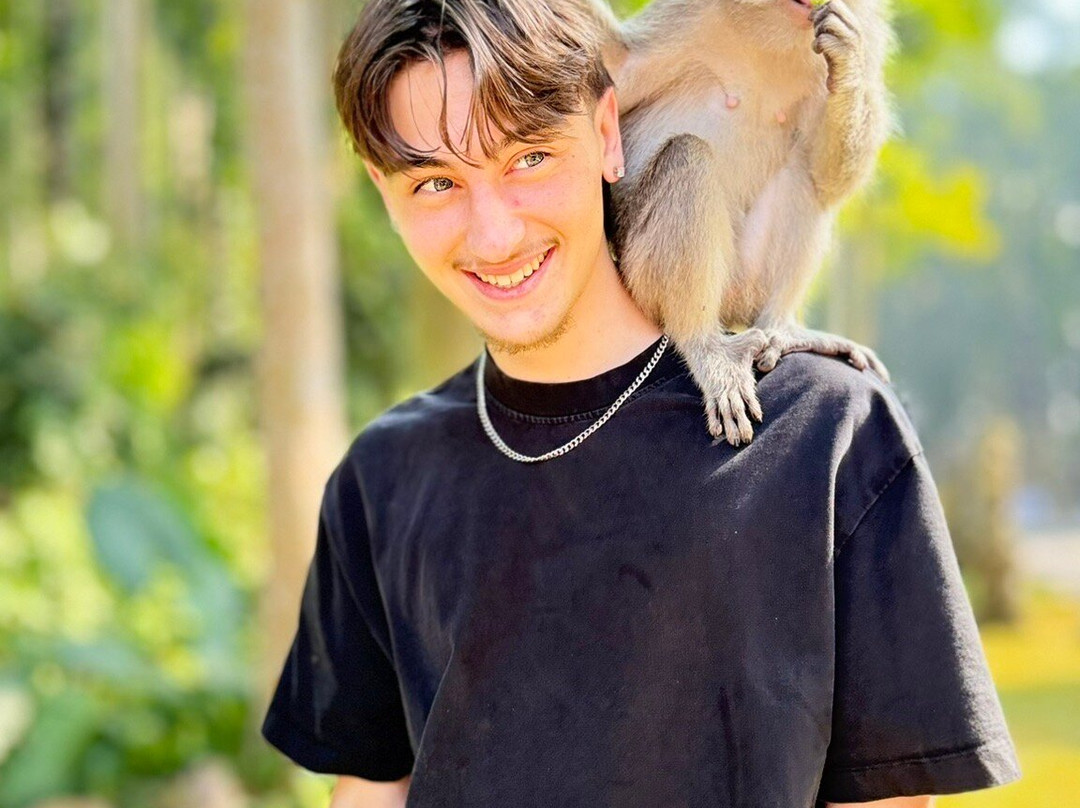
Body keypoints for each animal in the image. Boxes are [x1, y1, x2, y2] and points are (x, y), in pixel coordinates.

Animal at [586, 0, 894, 445]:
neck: (774, 32)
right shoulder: (691, 15)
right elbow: (619, 66)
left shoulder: (868, 30)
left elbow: (829, 177)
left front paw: (847, 62)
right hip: (638, 271)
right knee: (688, 155)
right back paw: (705, 346)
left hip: (745, 280)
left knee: (801, 174)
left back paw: (782, 327)